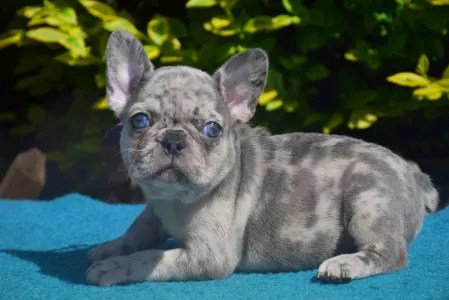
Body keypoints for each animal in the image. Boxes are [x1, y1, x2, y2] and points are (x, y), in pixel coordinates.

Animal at [86, 29, 440, 288]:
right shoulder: (154, 210)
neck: (175, 200)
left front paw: (115, 266)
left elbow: (149, 256)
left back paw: (344, 263)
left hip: (368, 199)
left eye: (212, 129)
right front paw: (109, 248)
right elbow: (139, 230)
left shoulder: (207, 255)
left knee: (390, 254)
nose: (173, 140)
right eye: (140, 120)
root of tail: (415, 175)